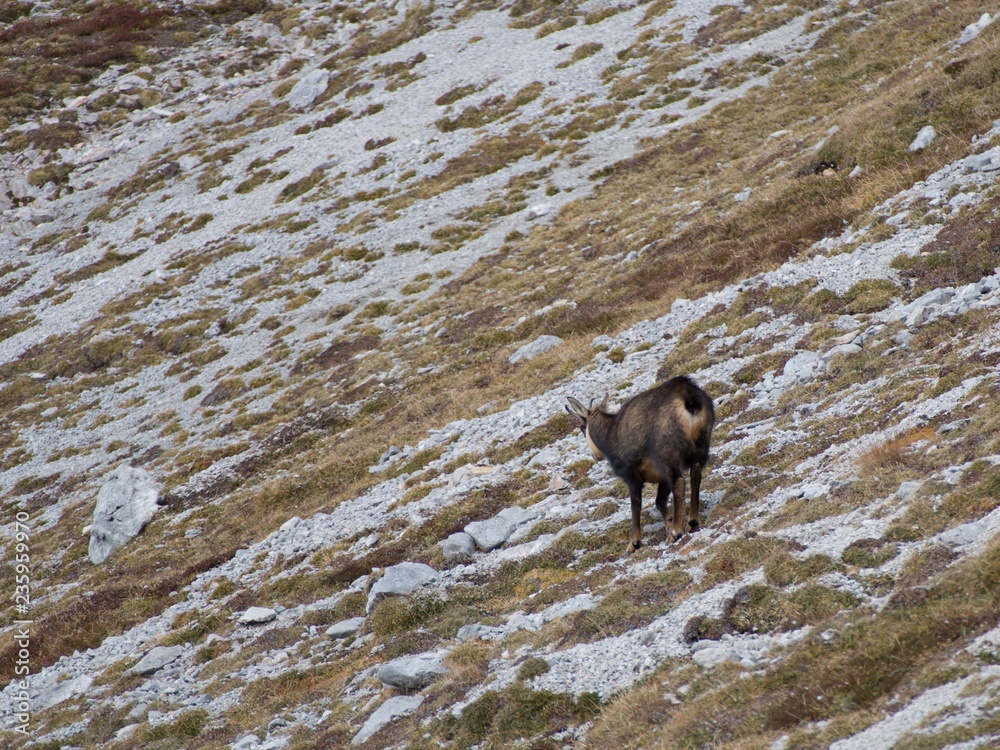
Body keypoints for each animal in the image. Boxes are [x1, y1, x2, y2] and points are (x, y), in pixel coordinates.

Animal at [566, 376, 714, 551]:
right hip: (701, 444)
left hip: (666, 454)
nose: (595, 456)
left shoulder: (632, 474)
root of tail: (687, 395)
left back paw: (675, 533)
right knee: (696, 473)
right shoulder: (660, 476)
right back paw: (692, 522)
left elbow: (635, 504)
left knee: (678, 483)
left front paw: (634, 543)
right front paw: (668, 523)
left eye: (582, 428)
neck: (610, 433)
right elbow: (659, 501)